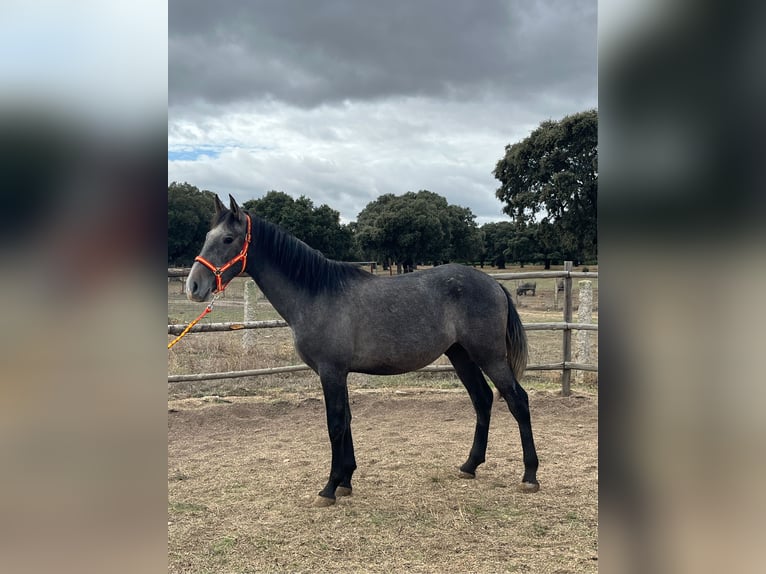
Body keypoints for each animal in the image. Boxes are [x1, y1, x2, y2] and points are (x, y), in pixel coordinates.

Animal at [185, 195, 540, 508]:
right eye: (206, 237)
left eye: (228, 239)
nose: (194, 286)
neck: (316, 293)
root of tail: (494, 284)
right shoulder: (338, 373)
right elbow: (347, 420)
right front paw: (346, 481)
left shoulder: (331, 371)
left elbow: (335, 423)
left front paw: (329, 488)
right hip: (461, 355)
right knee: (483, 399)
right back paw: (470, 465)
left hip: (489, 356)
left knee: (517, 401)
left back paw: (530, 475)